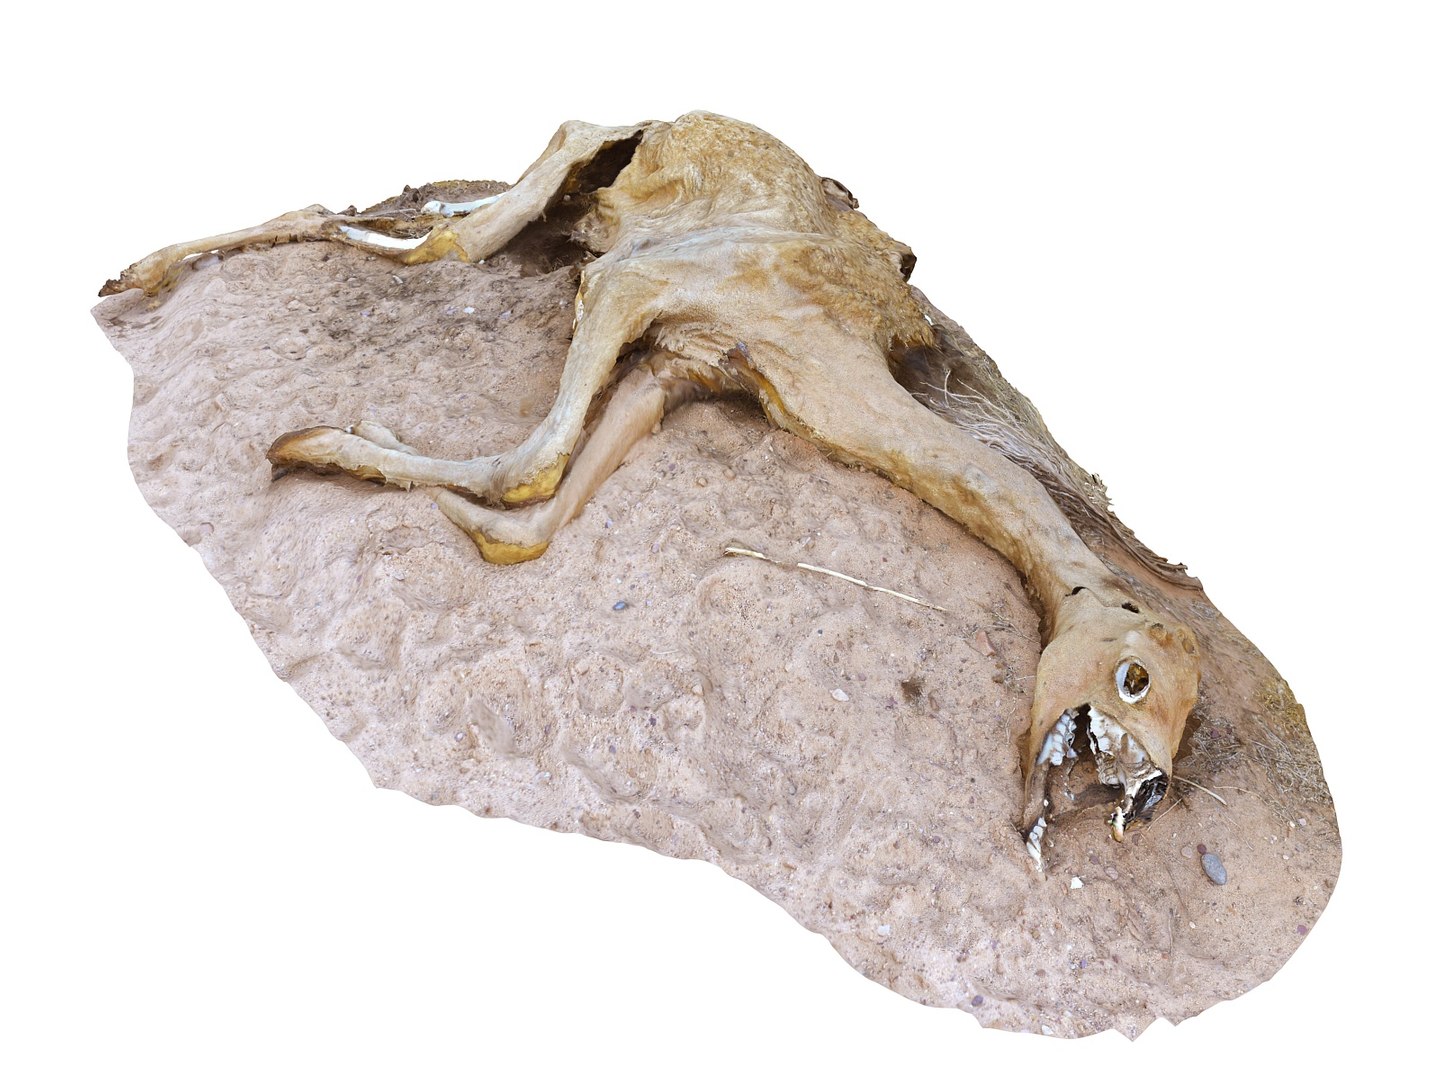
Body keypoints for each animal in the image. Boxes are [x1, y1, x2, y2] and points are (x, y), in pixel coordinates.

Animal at [102, 110, 1202, 865]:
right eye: (1136, 677)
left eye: (1192, 718)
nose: (1149, 794)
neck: (837, 360)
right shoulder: (636, 286)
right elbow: (536, 457)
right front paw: (320, 446)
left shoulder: (681, 366)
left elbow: (540, 513)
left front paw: (442, 505)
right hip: (583, 165)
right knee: (453, 229)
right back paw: (152, 286)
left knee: (384, 213)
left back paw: (145, 273)